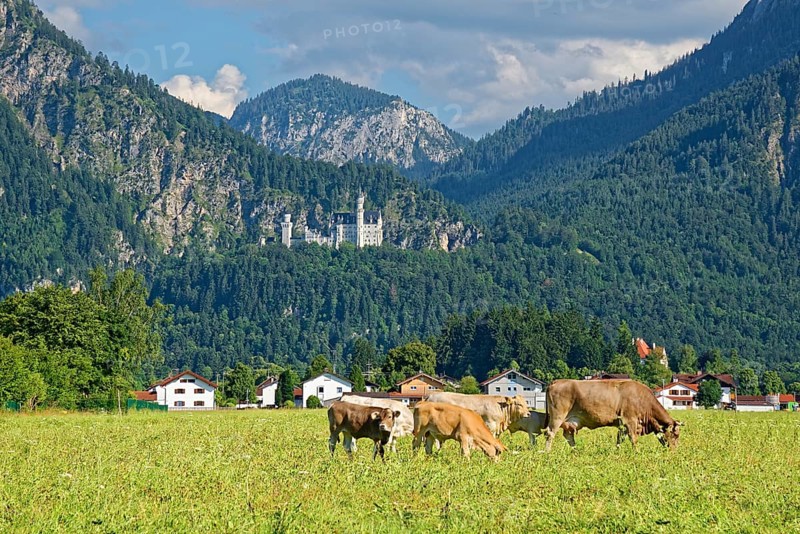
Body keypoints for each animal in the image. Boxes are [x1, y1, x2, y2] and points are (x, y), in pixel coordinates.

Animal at [543, 379, 682, 451]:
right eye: (675, 435)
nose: (674, 451)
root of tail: (556, 381)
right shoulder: (630, 421)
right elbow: (633, 439)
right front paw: (636, 452)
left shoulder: (622, 425)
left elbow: (620, 439)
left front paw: (617, 451)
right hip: (557, 417)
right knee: (550, 433)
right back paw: (547, 452)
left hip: (569, 422)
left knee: (568, 436)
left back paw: (575, 451)